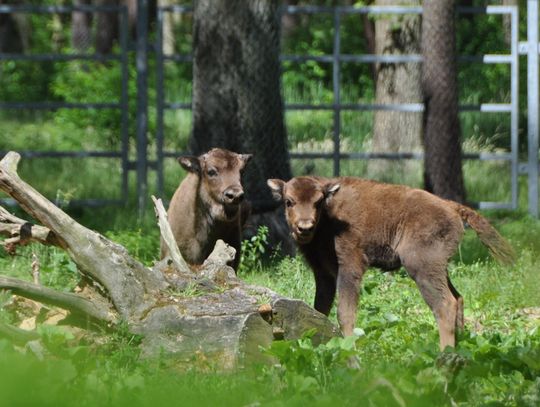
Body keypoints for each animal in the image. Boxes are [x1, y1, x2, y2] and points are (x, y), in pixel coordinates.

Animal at [268, 176, 516, 350]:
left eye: (318, 202)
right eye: (289, 201)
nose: (304, 227)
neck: (329, 218)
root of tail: (452, 207)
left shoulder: (350, 268)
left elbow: (345, 313)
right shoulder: (324, 274)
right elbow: (319, 310)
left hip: (421, 268)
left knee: (445, 305)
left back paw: (444, 355)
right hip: (438, 269)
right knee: (458, 298)